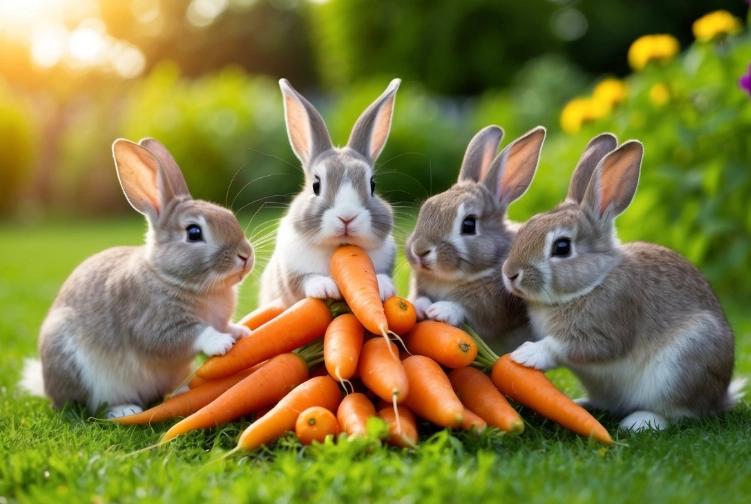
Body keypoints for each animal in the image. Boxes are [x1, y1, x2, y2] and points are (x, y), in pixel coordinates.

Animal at [19, 138, 254, 418]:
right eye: (194, 233)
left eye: (229, 215)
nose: (245, 255)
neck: (169, 277)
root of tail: (47, 388)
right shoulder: (153, 325)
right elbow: (191, 335)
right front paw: (222, 343)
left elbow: (224, 325)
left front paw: (241, 332)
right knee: (92, 406)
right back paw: (124, 410)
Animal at [259, 78, 400, 309]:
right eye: (316, 185)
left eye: (372, 185)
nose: (347, 217)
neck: (336, 248)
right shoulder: (291, 276)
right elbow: (306, 280)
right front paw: (326, 288)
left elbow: (383, 276)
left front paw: (383, 288)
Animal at [405, 125, 546, 354]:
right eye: (426, 208)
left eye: (469, 224)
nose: (420, 250)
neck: (449, 279)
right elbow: (419, 297)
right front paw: (421, 307)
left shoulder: (496, 303)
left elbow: (473, 309)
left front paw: (441, 311)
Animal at [502, 133, 745, 431]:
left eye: (562, 247)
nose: (510, 273)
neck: (593, 282)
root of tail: (720, 398)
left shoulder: (607, 327)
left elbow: (568, 346)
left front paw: (526, 354)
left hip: (682, 367)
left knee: (682, 414)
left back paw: (639, 422)